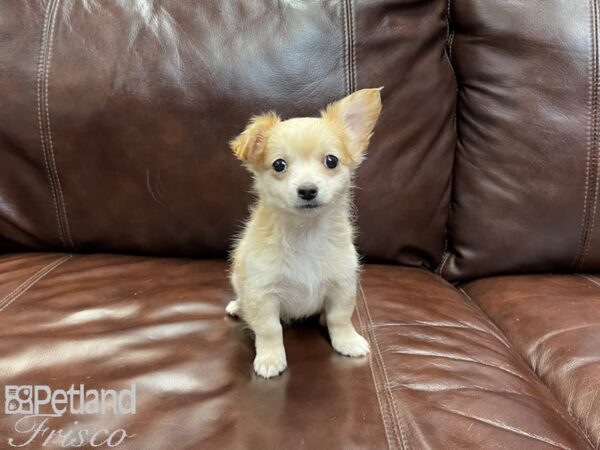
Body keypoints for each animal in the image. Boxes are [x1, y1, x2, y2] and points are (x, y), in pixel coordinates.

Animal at [227, 88, 382, 376]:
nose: (308, 190)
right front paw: (270, 358)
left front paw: (348, 342)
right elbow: (269, 329)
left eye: (331, 161)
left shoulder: (342, 286)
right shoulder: (261, 292)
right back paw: (236, 306)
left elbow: (340, 318)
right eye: (279, 165)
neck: (305, 233)